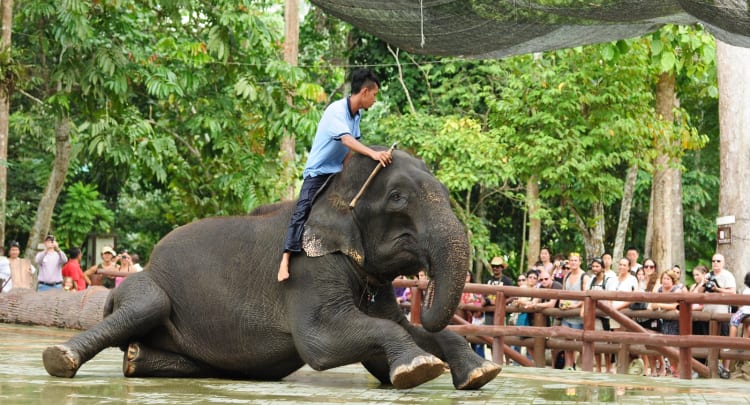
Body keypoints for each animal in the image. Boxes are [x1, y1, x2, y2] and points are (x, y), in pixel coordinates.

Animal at [44, 146, 506, 388]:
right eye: (397, 199)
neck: (332, 187)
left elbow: (390, 335)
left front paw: (479, 374)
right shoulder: (306, 268)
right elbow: (321, 343)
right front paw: (419, 369)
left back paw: (137, 359)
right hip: (142, 285)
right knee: (147, 306)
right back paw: (60, 359)